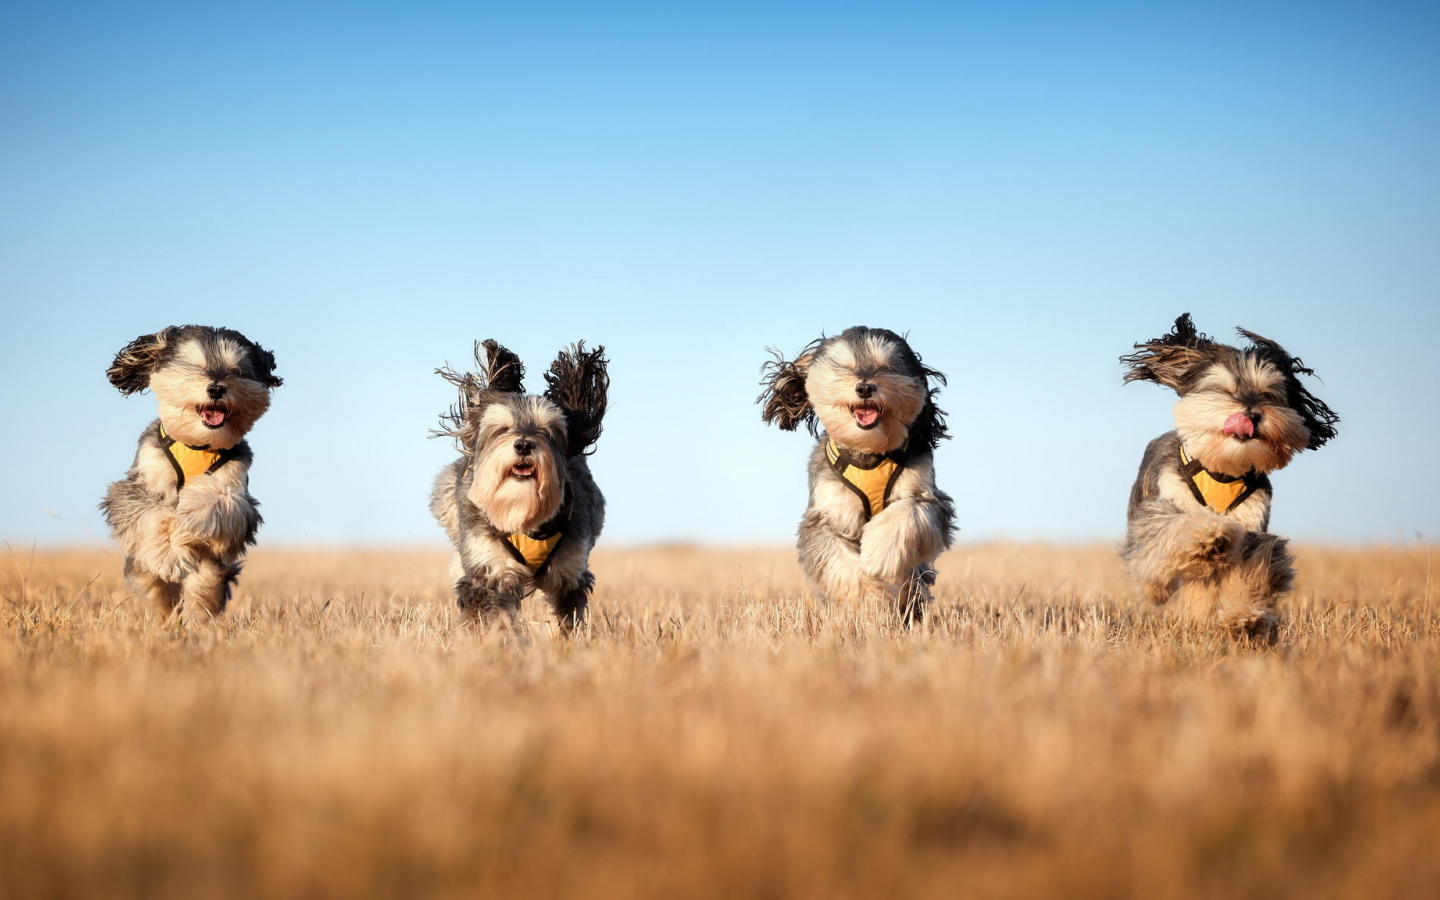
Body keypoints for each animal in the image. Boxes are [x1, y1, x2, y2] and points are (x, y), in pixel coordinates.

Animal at [100, 324, 280, 616]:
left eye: (238, 370)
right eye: (193, 366)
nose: (216, 388)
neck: (198, 443)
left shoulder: (237, 490)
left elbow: (215, 501)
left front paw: (189, 519)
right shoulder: (136, 485)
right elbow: (153, 514)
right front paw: (168, 552)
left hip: (212, 571)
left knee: (204, 586)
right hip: (142, 571)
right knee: (155, 586)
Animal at [426, 338, 607, 630]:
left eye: (548, 430)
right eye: (502, 428)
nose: (523, 444)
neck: (522, 513)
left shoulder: (570, 573)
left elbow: (568, 619)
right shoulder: (489, 570)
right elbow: (495, 616)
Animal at [760, 326, 950, 622]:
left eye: (888, 366)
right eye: (844, 366)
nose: (864, 387)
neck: (869, 451)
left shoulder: (927, 495)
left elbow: (908, 512)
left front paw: (879, 553)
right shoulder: (825, 516)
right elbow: (841, 564)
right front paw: (870, 603)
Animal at [1111, 315, 1336, 639]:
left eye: (1269, 394)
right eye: (1226, 390)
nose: (1251, 415)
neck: (1223, 469)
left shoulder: (1253, 528)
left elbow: (1249, 572)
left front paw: (1244, 617)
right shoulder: (1164, 506)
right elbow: (1179, 527)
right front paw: (1210, 534)